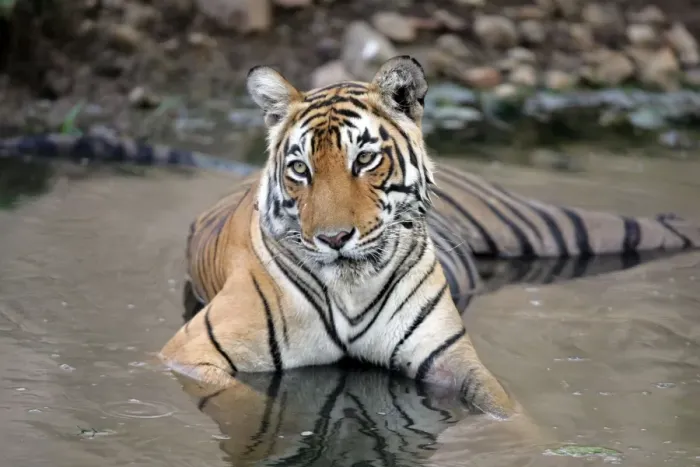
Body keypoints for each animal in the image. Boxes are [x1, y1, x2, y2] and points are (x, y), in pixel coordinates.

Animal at [158, 55, 700, 422]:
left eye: (364, 160)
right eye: (299, 170)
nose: (333, 238)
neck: (351, 289)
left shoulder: (450, 359)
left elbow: (508, 411)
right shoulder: (190, 354)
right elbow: (252, 402)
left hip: (548, 229)